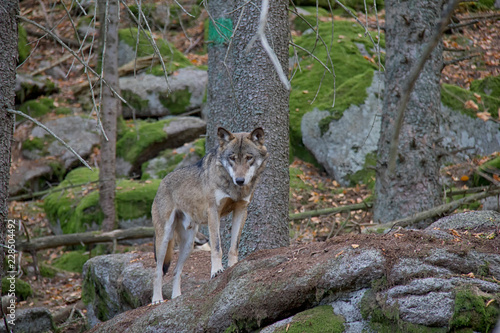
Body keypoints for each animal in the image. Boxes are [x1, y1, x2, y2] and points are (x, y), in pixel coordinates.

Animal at [151, 125, 268, 300]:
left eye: (248, 158)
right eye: (232, 158)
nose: (240, 180)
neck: (233, 187)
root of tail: (161, 183)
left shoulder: (241, 210)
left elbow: (233, 246)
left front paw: (233, 267)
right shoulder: (214, 212)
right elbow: (217, 247)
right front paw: (216, 271)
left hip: (188, 245)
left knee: (176, 271)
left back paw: (176, 297)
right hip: (164, 239)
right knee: (158, 271)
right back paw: (157, 300)